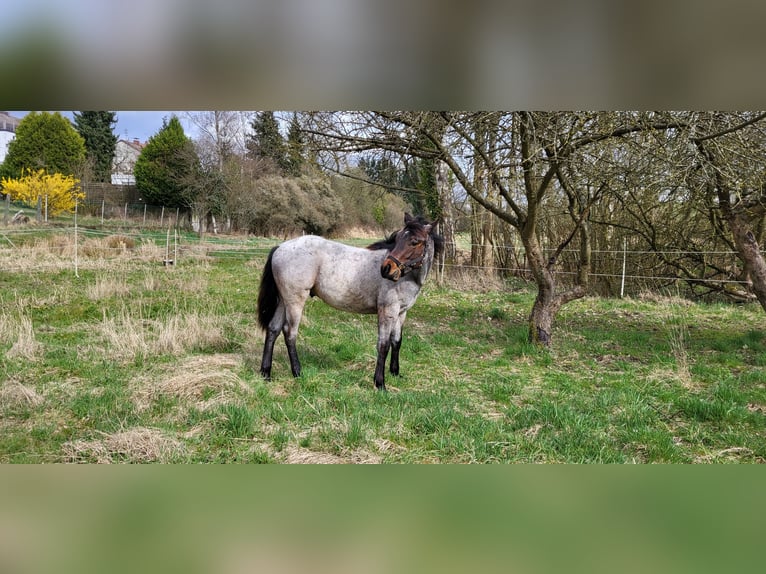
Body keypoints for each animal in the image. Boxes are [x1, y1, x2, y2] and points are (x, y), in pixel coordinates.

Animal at [257, 213, 444, 390]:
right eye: (397, 239)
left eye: (414, 241)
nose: (386, 269)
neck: (407, 277)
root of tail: (280, 247)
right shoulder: (388, 310)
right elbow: (383, 345)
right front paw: (380, 383)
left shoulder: (401, 312)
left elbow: (396, 342)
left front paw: (395, 373)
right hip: (295, 301)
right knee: (289, 333)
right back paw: (297, 372)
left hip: (284, 300)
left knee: (273, 330)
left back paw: (265, 373)